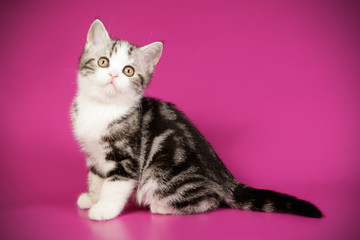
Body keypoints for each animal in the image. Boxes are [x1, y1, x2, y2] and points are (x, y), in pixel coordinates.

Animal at [71, 19, 322, 221]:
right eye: (103, 62)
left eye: (128, 71)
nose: (113, 75)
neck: (102, 107)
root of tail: (226, 179)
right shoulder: (93, 154)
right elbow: (97, 178)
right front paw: (92, 198)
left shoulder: (126, 158)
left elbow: (114, 186)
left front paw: (103, 210)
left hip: (163, 175)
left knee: (210, 200)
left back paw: (162, 208)